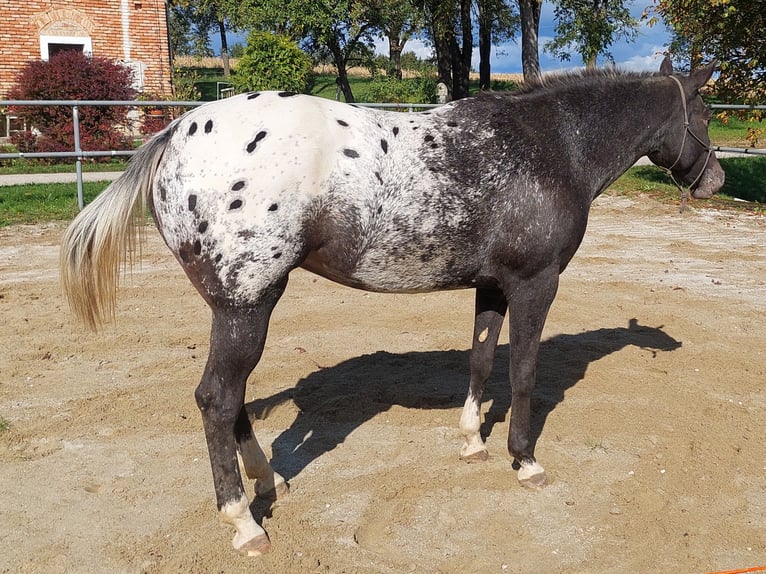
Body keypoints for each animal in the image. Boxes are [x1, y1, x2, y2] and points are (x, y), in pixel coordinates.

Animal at [60, 58, 728, 560]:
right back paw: (244, 523)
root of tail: (175, 134)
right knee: (217, 399)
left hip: (236, 308)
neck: (550, 146)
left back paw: (266, 480)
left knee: (232, 399)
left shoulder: (492, 287)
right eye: (704, 113)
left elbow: (482, 362)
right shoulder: (535, 285)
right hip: (247, 307)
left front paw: (472, 443)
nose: (717, 181)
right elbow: (524, 374)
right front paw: (524, 461)